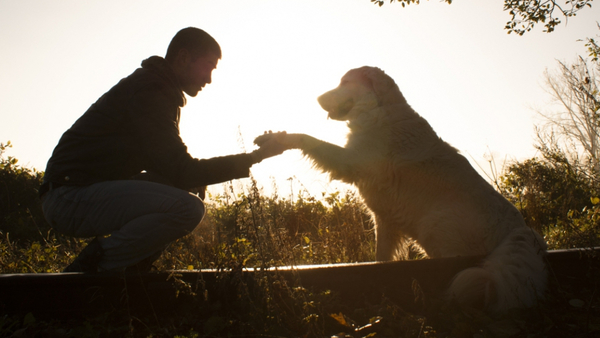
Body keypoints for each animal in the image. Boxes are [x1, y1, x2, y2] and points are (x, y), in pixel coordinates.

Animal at [255, 66, 548, 314]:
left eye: (346, 82)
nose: (317, 98)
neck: (380, 111)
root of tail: (518, 230)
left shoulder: (351, 161)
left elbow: (308, 138)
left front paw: (279, 138)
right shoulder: (385, 221)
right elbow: (381, 260)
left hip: (436, 226)